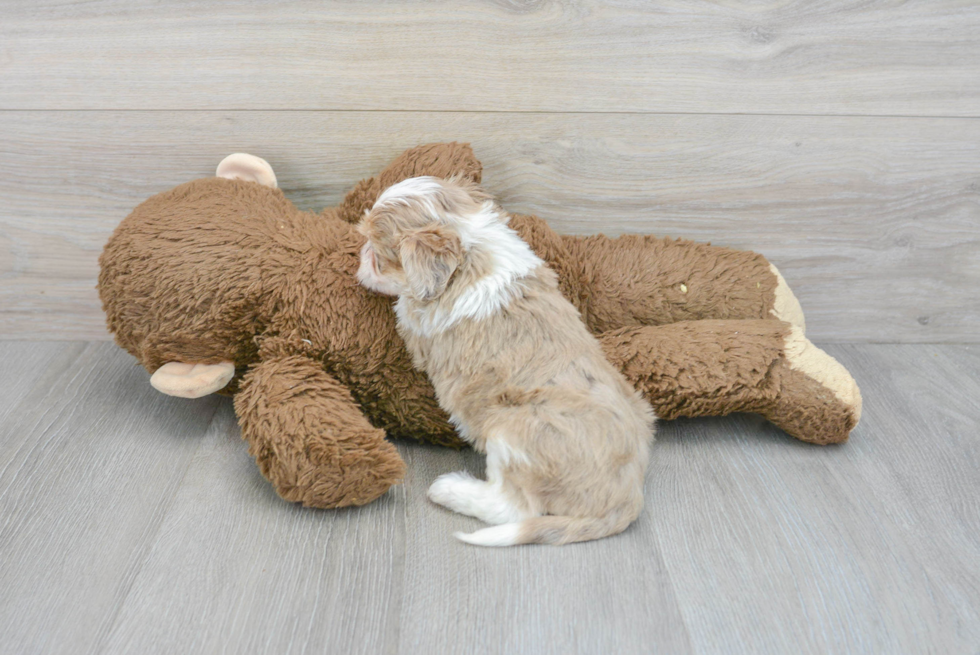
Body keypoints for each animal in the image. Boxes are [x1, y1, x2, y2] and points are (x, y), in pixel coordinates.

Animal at [356, 177, 656, 544]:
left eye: (378, 253)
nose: (361, 254)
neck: (473, 247)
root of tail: (629, 496)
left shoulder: (418, 320)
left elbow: (404, 306)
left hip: (511, 431)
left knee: (514, 508)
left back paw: (451, 489)